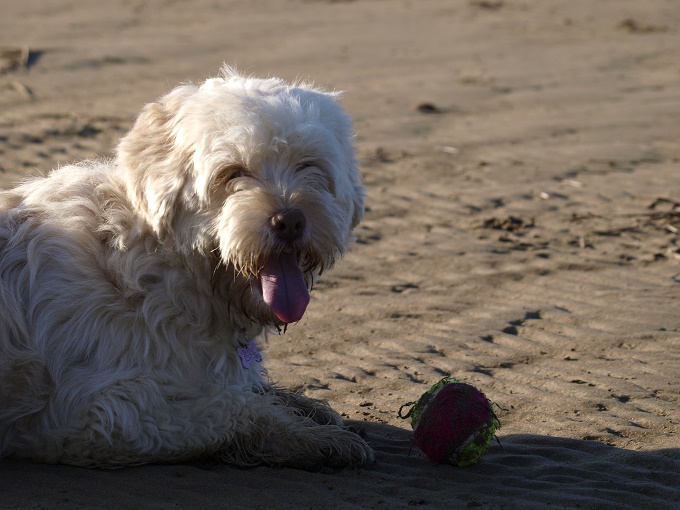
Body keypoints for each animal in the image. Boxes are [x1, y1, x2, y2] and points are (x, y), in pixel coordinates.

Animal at [0, 67, 372, 470]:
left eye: (308, 164)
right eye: (232, 173)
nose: (289, 221)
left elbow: (253, 388)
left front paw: (308, 407)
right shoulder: (101, 412)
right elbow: (234, 408)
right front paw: (314, 437)